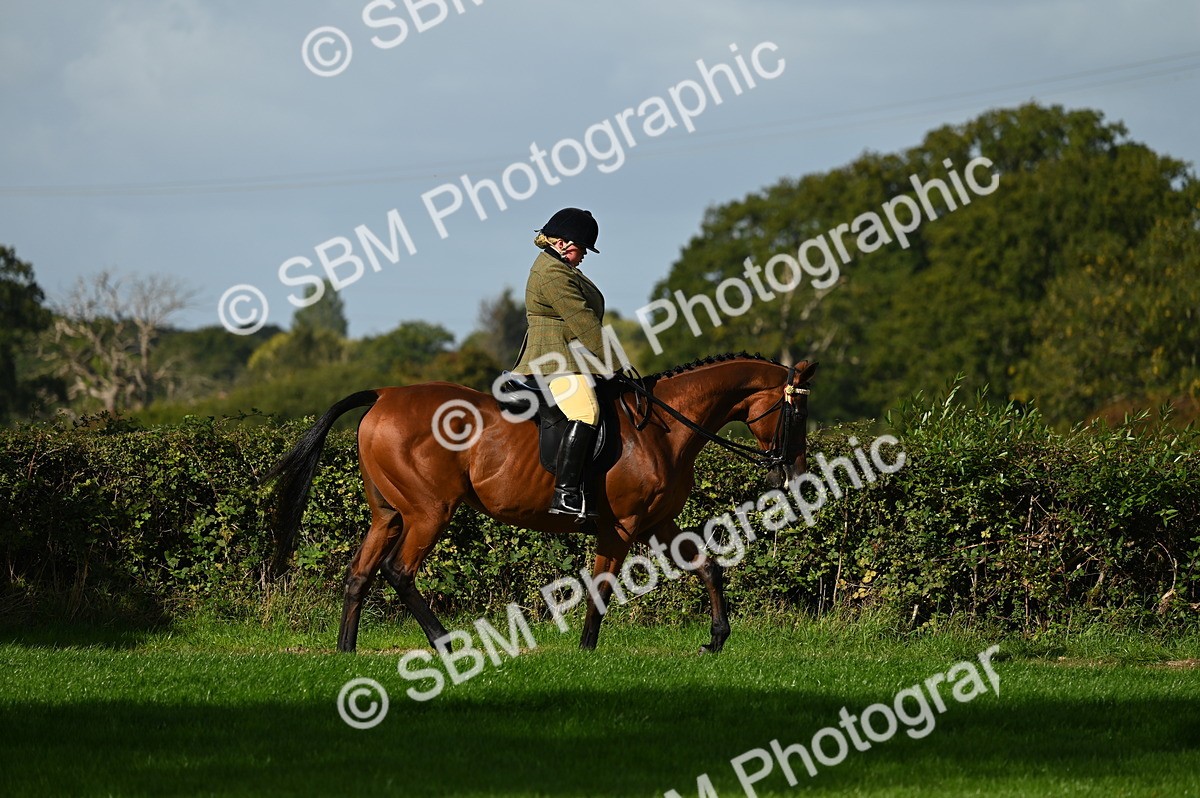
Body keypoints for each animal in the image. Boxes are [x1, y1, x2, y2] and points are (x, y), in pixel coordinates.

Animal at [267, 353, 817, 654]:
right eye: (798, 412)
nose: (792, 474)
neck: (664, 428)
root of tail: (383, 394)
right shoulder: (621, 526)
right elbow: (601, 584)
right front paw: (587, 649)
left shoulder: (659, 521)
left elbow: (707, 566)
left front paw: (717, 638)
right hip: (428, 512)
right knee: (398, 572)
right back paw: (446, 642)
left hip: (389, 514)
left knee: (360, 573)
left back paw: (346, 651)